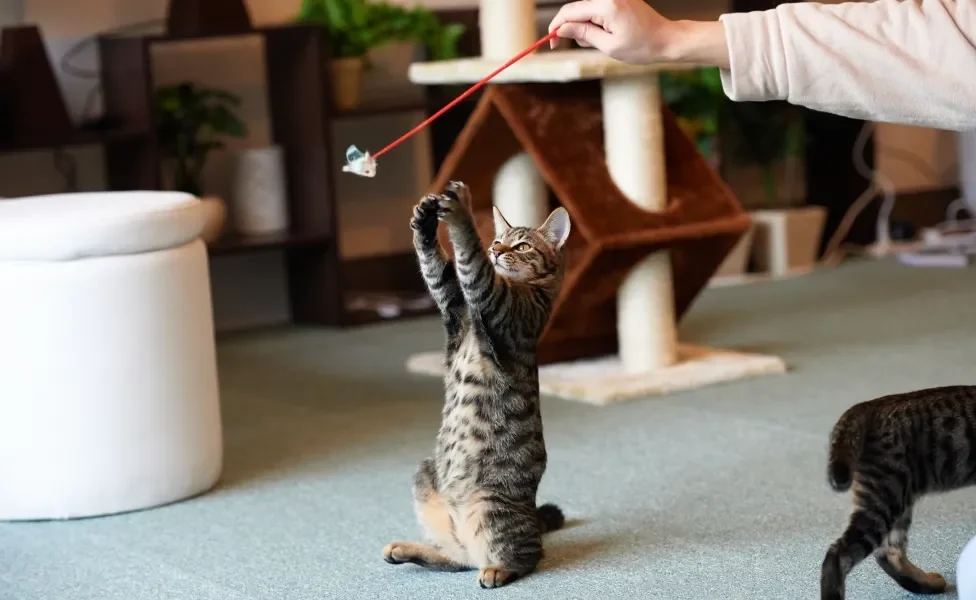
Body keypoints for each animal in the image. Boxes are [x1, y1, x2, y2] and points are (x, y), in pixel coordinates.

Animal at [384, 182, 572, 584]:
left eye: (522, 246)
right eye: (498, 240)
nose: (496, 251)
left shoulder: (494, 301)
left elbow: (468, 255)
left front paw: (461, 211)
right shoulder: (455, 307)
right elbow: (437, 266)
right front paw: (425, 220)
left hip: (488, 506)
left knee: (527, 556)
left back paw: (498, 570)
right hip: (426, 474)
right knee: (456, 557)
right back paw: (405, 549)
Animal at [816, 386, 976, 596]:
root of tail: (868, 405)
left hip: (896, 497)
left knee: (888, 552)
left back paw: (928, 584)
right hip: (887, 496)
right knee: (838, 555)